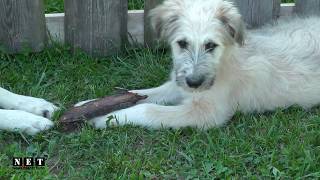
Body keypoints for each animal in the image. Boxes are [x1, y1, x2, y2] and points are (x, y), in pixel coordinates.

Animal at [80, 0, 320, 129]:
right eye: (182, 43)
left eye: (211, 45)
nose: (194, 83)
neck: (223, 63)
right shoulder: (177, 85)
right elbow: (142, 93)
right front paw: (89, 105)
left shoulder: (206, 113)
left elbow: (149, 109)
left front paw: (108, 118)